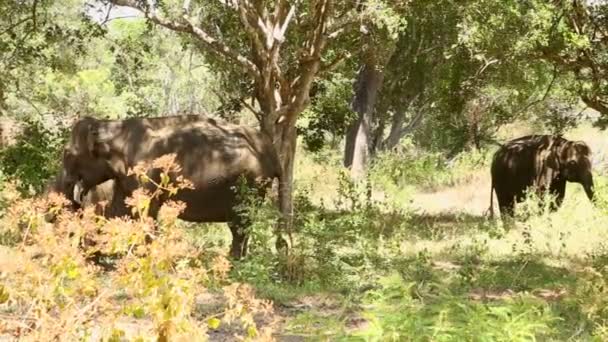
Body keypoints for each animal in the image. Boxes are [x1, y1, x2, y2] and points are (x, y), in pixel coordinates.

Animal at [55, 115, 282, 260]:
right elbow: (120, 210)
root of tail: (271, 151)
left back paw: (234, 261)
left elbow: (146, 211)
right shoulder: (127, 178)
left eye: (67, 154)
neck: (114, 128)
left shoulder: (145, 172)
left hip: (251, 184)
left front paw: (144, 258)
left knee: (240, 223)